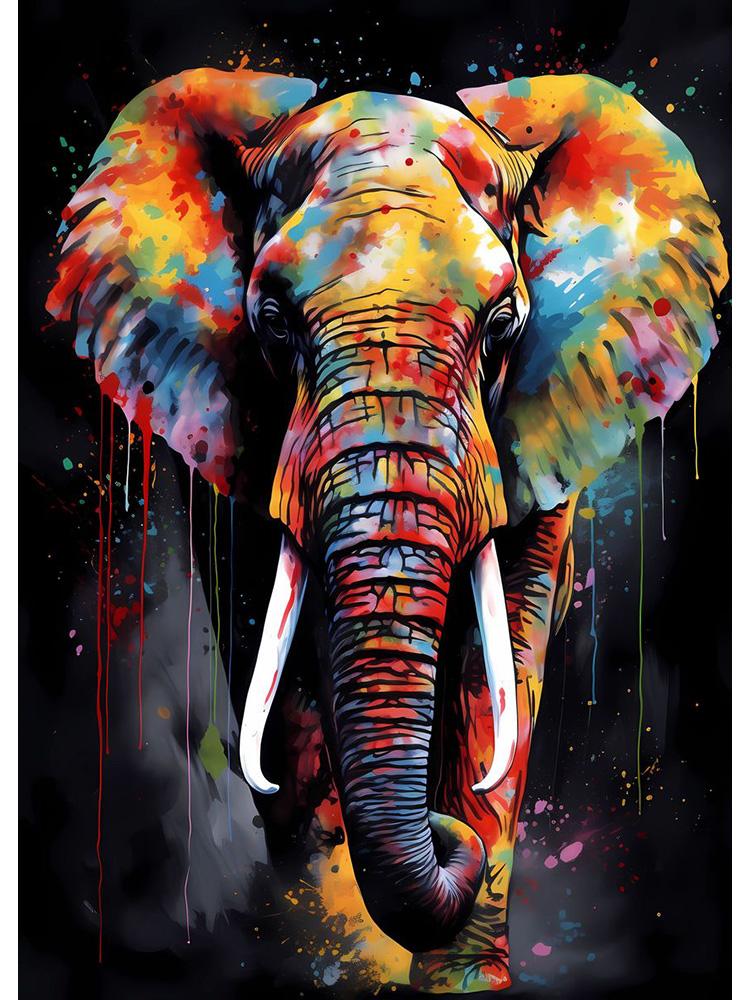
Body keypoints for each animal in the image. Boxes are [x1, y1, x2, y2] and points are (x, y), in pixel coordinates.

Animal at [47, 68, 727, 992]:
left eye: (505, 324)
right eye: (272, 318)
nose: (444, 838)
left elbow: (498, 661)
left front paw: (462, 976)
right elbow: (288, 673)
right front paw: (324, 950)